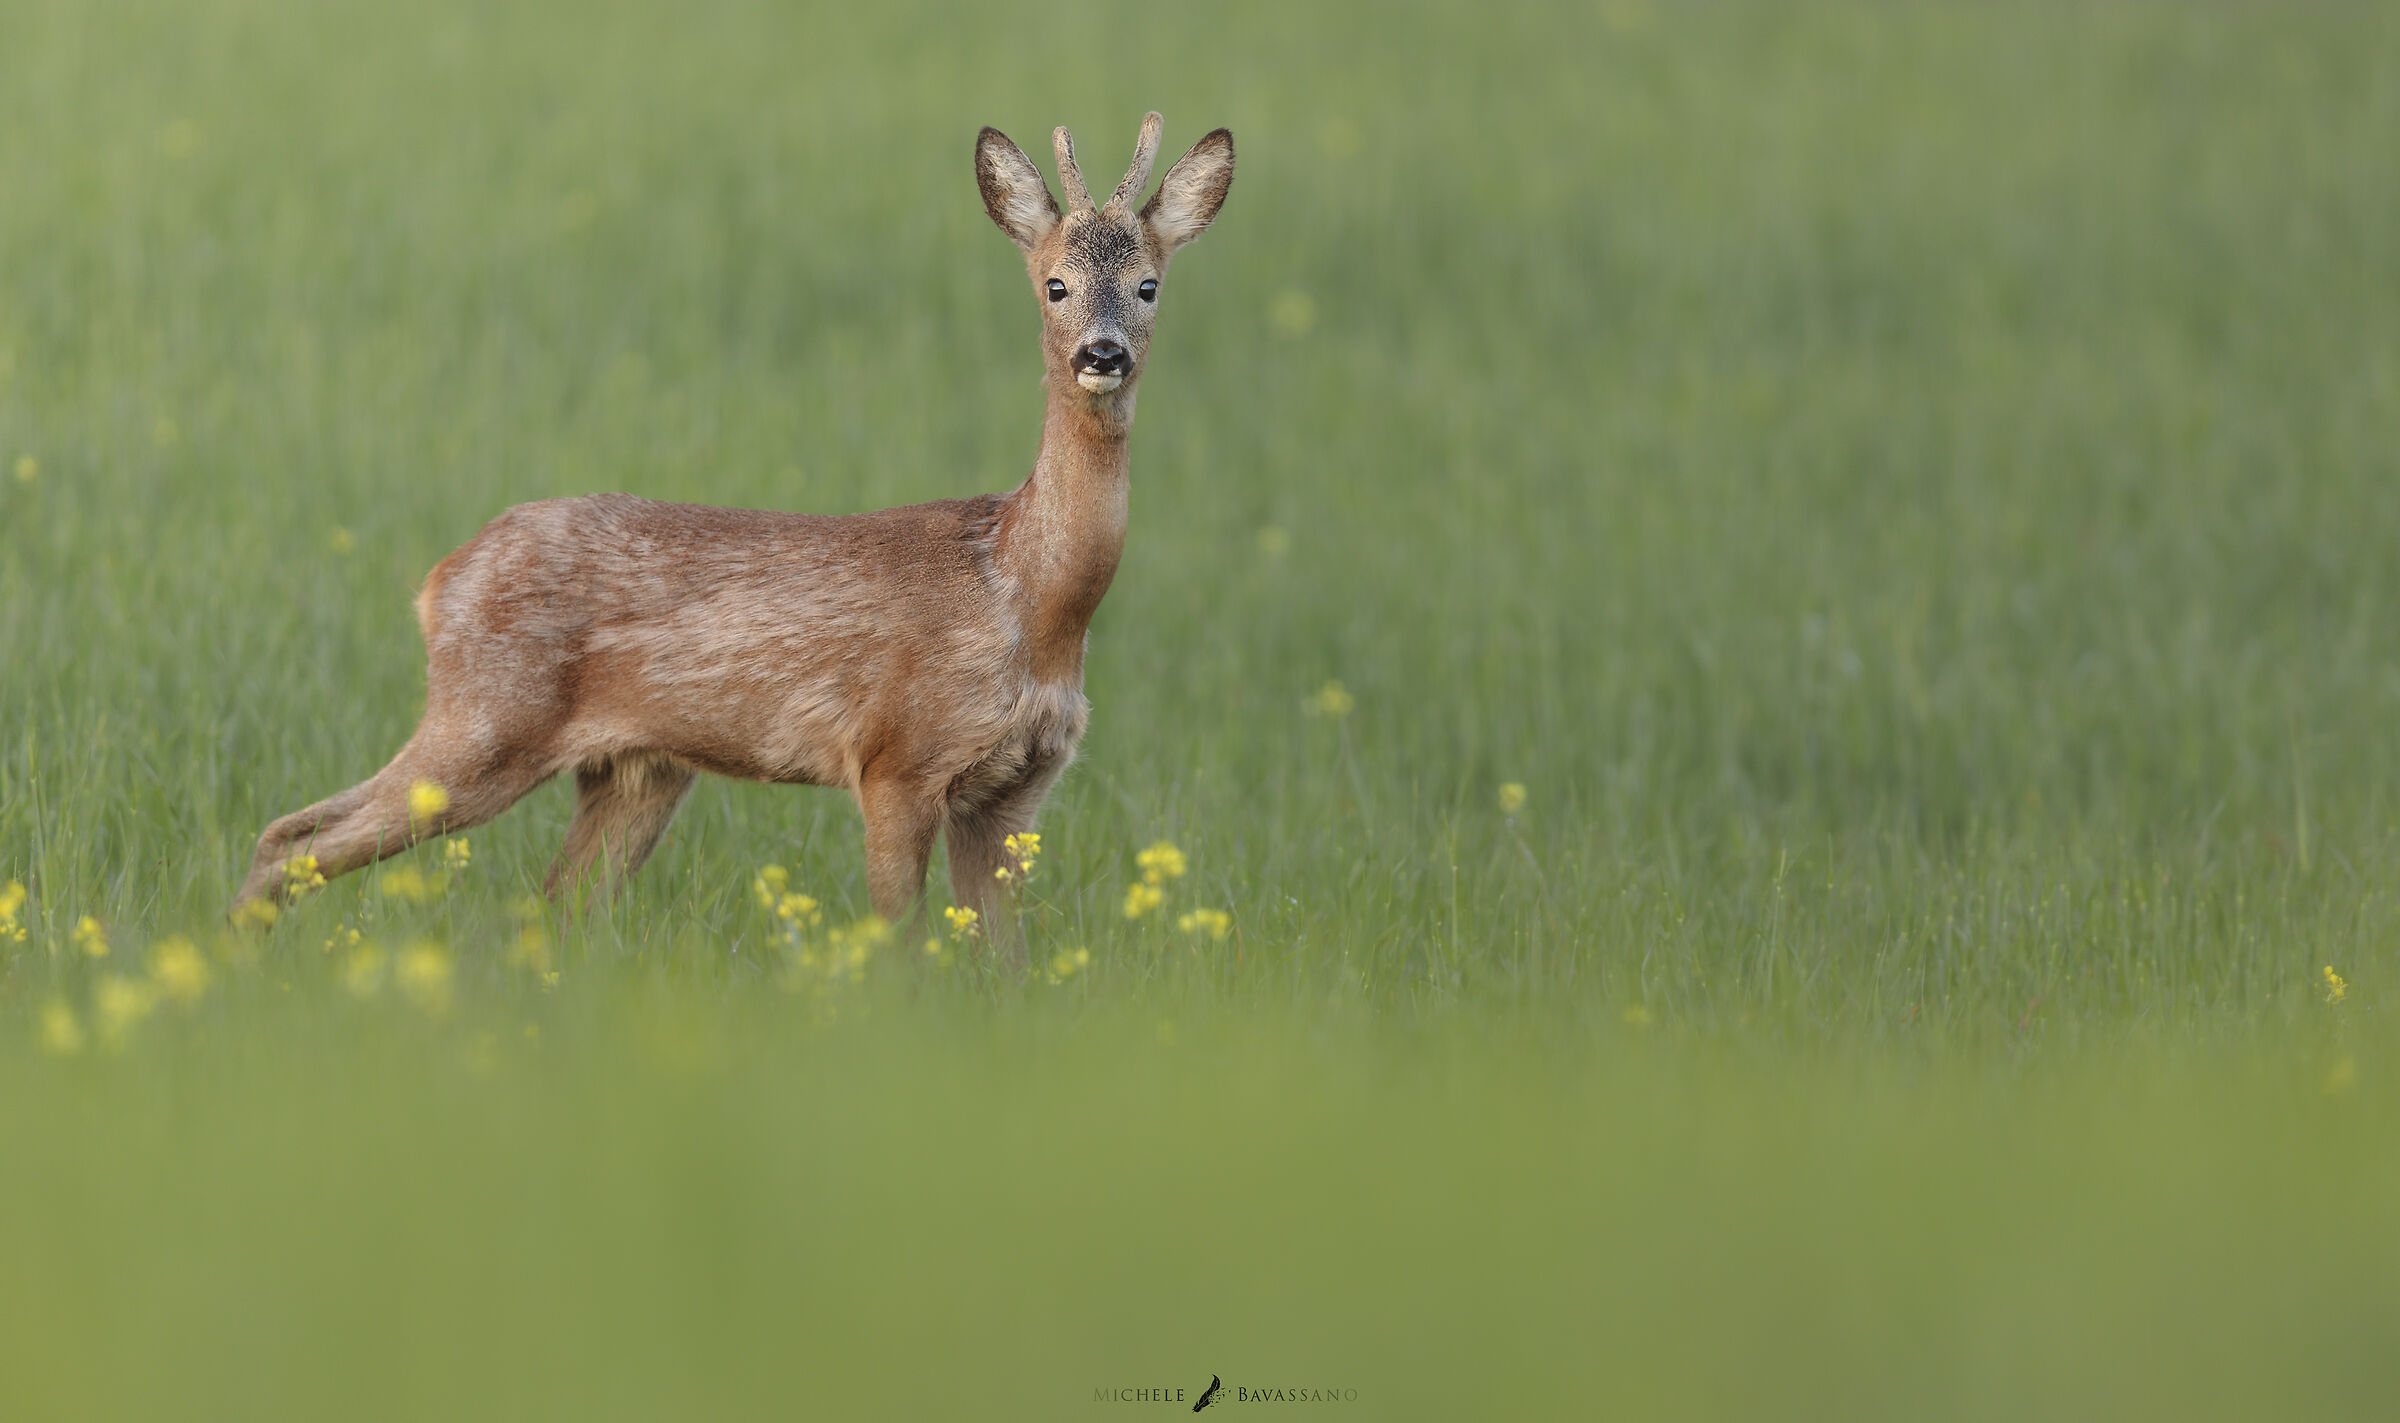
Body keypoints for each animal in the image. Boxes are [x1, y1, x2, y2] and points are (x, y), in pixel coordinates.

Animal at [230, 112, 1234, 948]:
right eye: (1055, 285)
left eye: (1148, 285)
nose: (1102, 354)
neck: (1029, 595)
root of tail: (441, 579)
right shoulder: (894, 759)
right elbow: (902, 948)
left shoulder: (1015, 792)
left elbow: (1007, 968)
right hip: (484, 718)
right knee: (291, 837)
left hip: (634, 770)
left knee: (550, 906)